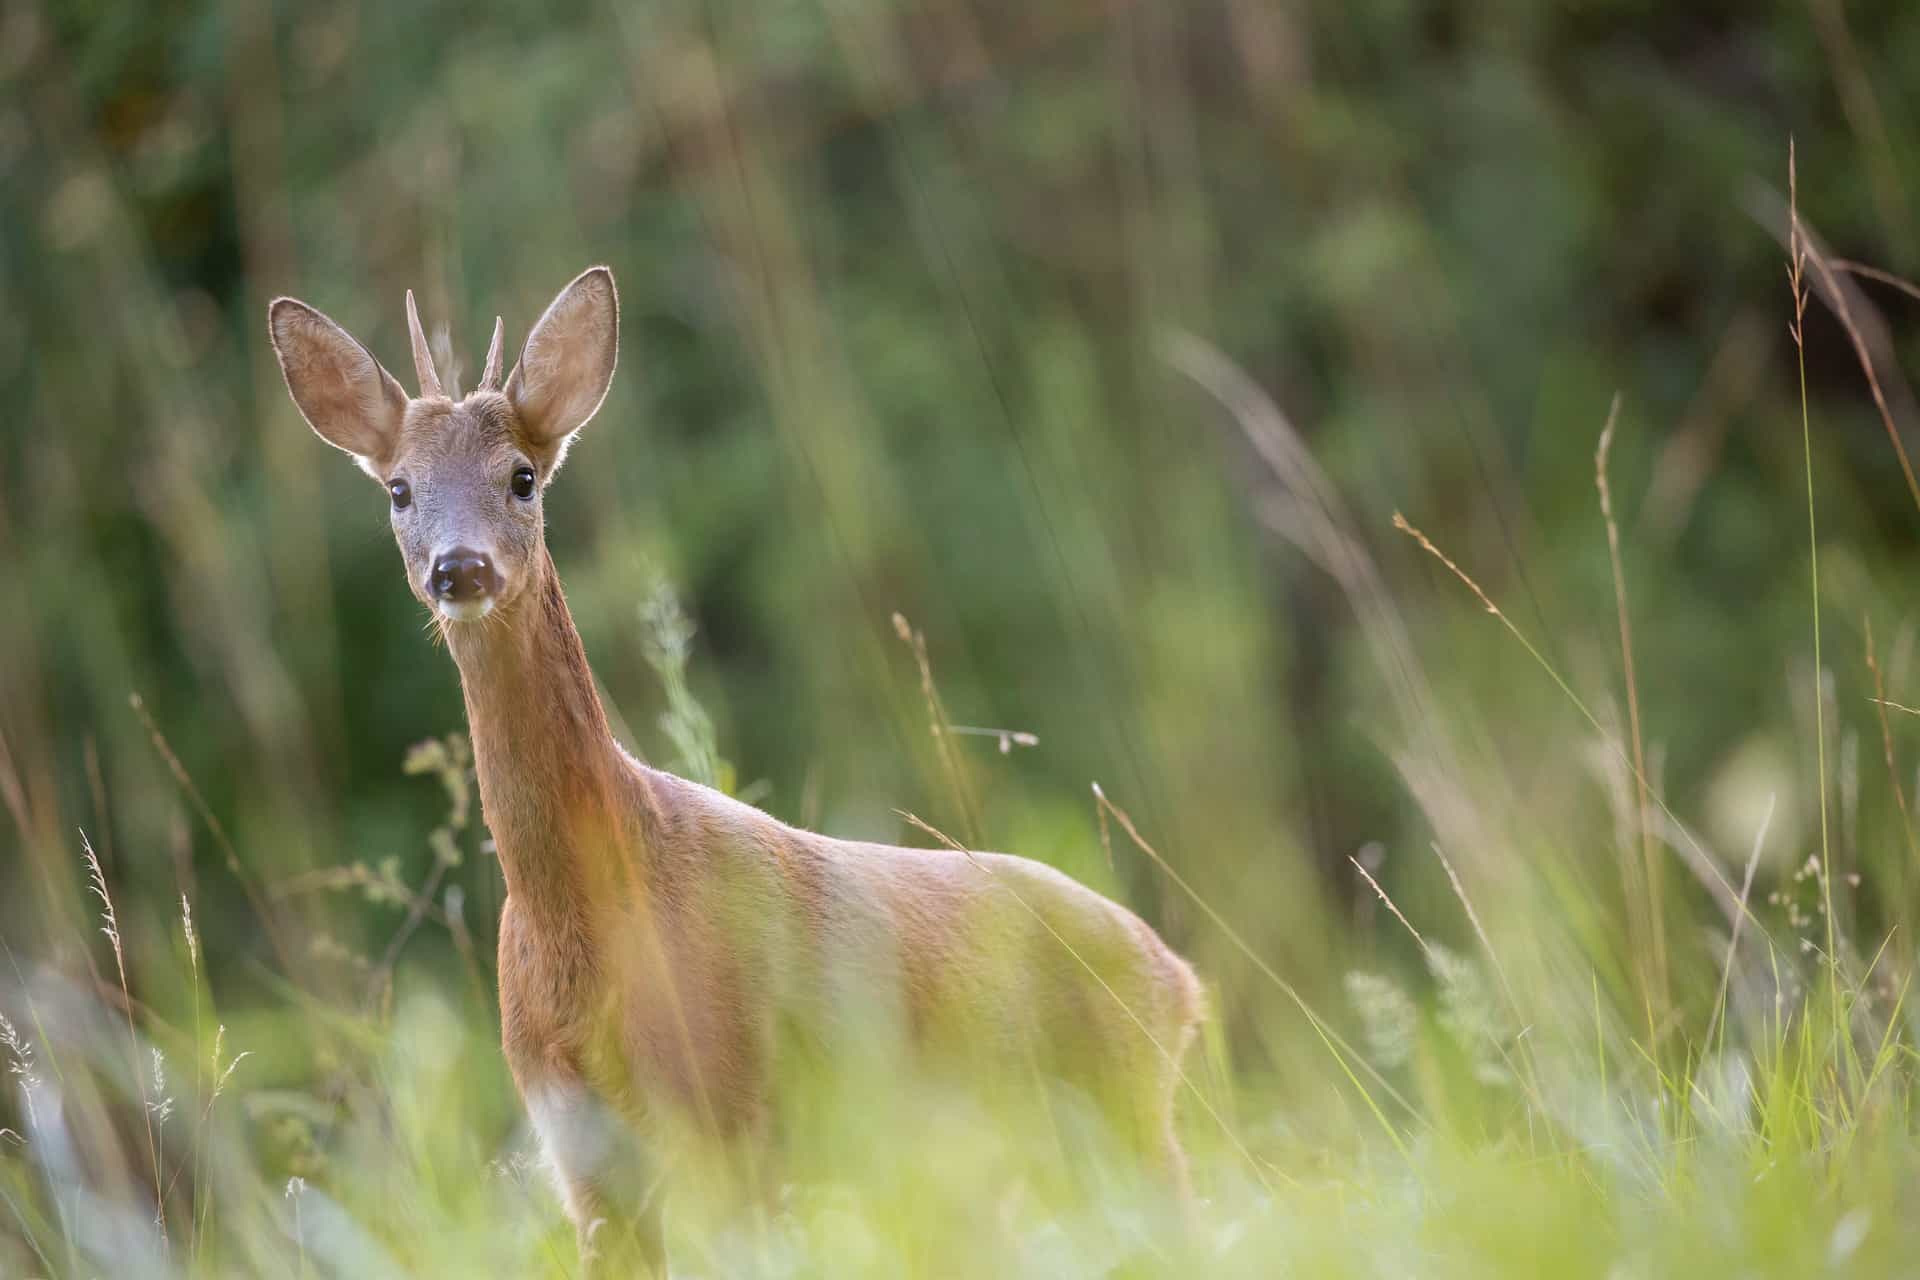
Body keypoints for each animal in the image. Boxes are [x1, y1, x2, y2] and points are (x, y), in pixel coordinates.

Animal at [270, 268, 1198, 1274]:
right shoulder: (583, 1156)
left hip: (1123, 1115)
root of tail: (1180, 979)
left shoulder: (729, 1107)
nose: (460, 568)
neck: (589, 914)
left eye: (522, 476)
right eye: (399, 490)